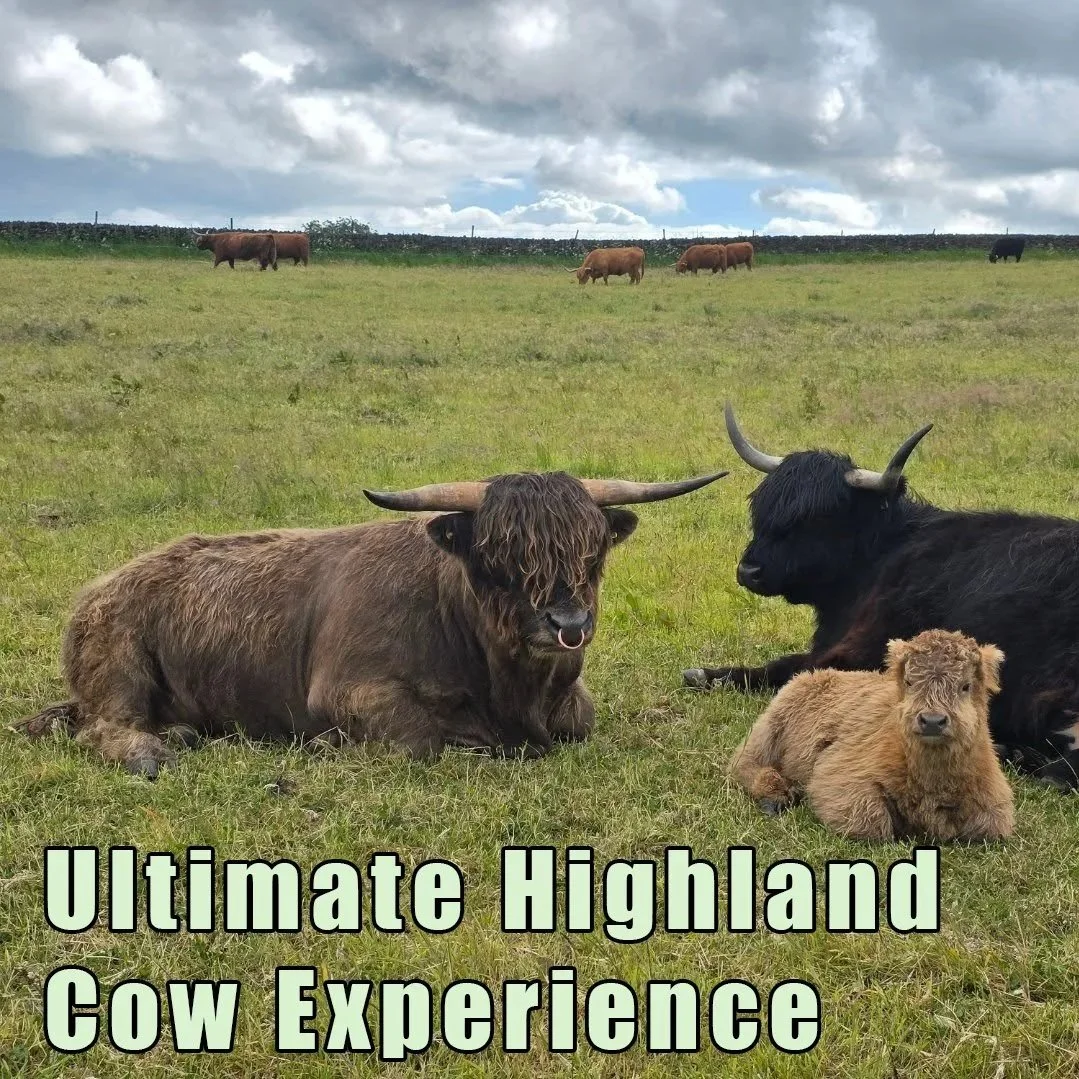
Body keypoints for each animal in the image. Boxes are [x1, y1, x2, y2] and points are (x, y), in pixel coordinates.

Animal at [20, 468, 726, 777]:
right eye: (496, 558)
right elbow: (422, 740)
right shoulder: (350, 693)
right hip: (118, 670)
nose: (568, 623)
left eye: (593, 552)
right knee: (105, 727)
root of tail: (100, 589)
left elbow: (580, 718)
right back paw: (156, 748)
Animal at [682, 402, 1079, 791]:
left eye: (818, 517)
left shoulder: (865, 650)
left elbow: (793, 669)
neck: (884, 554)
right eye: (762, 507)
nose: (748, 570)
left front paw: (709, 674)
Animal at [730, 629, 1014, 842]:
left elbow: (991, 826)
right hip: (770, 727)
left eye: (965, 686)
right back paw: (775, 795)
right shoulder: (838, 780)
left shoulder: (996, 809)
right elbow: (871, 824)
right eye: (909, 682)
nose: (932, 721)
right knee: (743, 762)